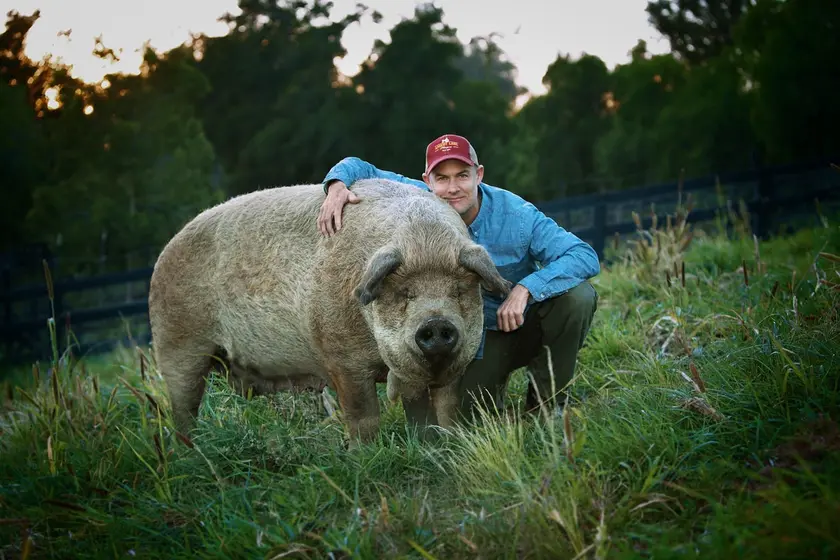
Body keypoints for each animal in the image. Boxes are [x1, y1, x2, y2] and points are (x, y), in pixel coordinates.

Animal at [147, 178, 511, 445]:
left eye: (459, 291)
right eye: (404, 294)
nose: (436, 323)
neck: (423, 240)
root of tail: (163, 253)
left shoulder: (458, 360)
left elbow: (448, 406)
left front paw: (452, 442)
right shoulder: (340, 357)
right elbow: (363, 414)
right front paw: (364, 455)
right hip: (176, 344)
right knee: (182, 408)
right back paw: (190, 451)